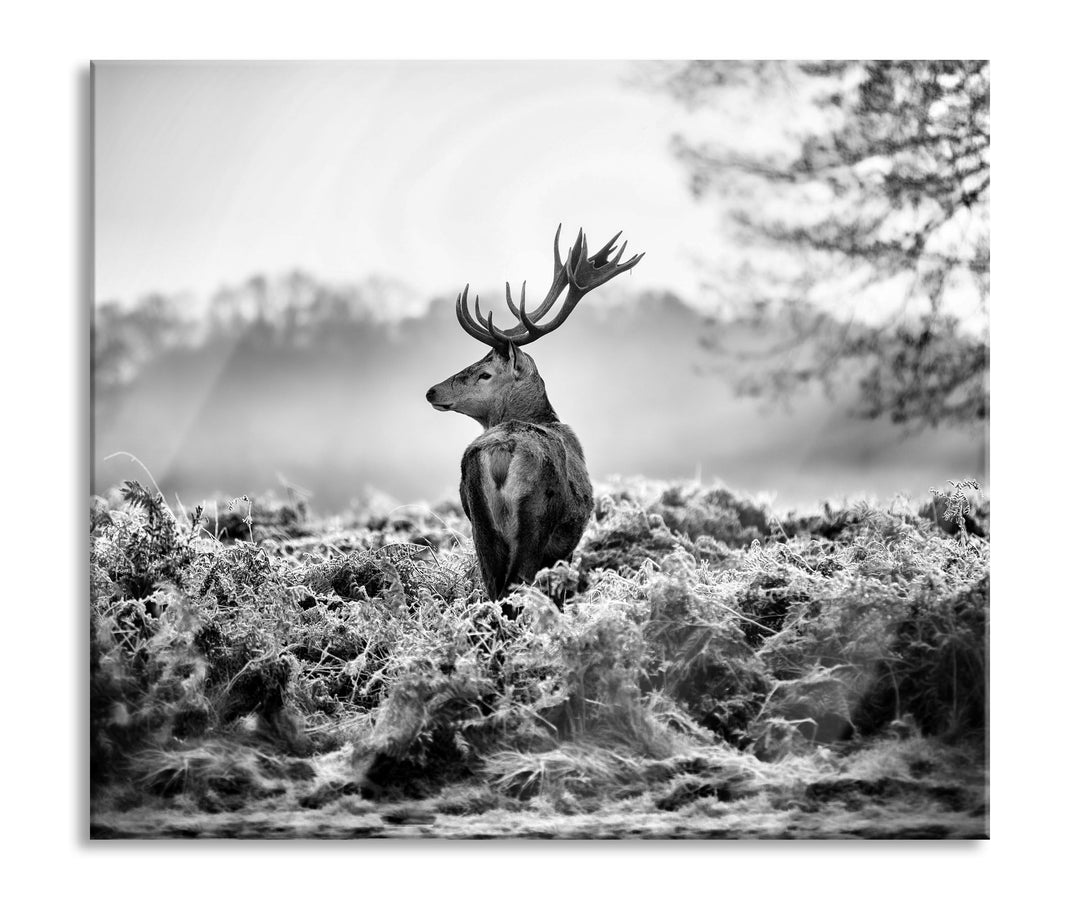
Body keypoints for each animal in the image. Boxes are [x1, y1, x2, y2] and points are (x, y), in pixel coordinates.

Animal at [426, 226, 643, 616]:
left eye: (483, 373)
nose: (432, 391)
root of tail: (501, 451)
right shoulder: (564, 547)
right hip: (536, 519)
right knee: (515, 587)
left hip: (480, 522)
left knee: (494, 589)